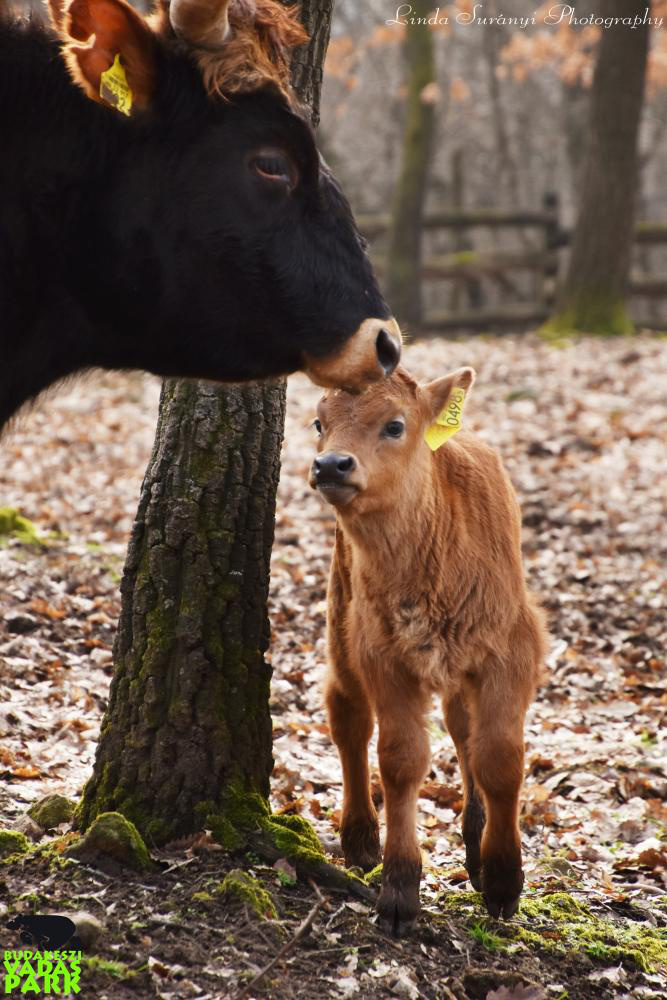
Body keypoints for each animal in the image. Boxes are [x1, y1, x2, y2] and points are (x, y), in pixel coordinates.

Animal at [308, 368, 548, 936]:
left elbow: (499, 757)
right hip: (341, 626)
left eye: (395, 424)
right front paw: (399, 890)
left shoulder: (510, 653)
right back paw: (360, 837)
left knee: (463, 731)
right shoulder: (382, 656)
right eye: (319, 423)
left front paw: (503, 881)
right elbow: (400, 759)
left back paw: (475, 846)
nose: (331, 465)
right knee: (348, 715)